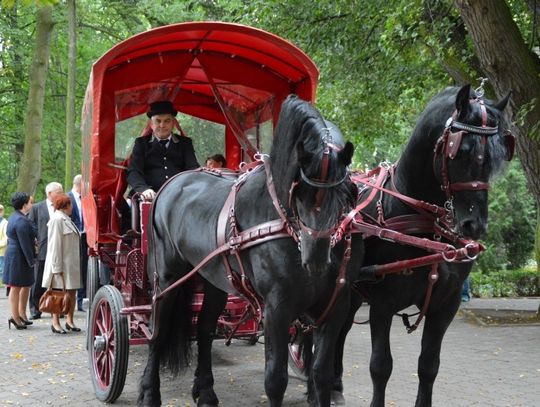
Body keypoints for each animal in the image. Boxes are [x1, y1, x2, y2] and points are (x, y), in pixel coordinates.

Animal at [137, 94, 362, 407]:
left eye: (345, 192)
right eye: (298, 190)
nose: (317, 259)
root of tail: (168, 186)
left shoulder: (334, 306)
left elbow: (321, 375)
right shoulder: (277, 308)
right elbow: (275, 380)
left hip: (215, 279)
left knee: (204, 329)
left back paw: (206, 391)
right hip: (167, 279)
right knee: (157, 334)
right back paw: (149, 392)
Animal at [302, 84, 514, 406]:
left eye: (495, 154)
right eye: (461, 150)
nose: (474, 225)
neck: (425, 227)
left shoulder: (446, 304)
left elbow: (428, 367)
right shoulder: (382, 302)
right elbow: (380, 366)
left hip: (350, 294)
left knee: (340, 331)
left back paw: (335, 386)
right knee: (310, 335)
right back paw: (314, 389)